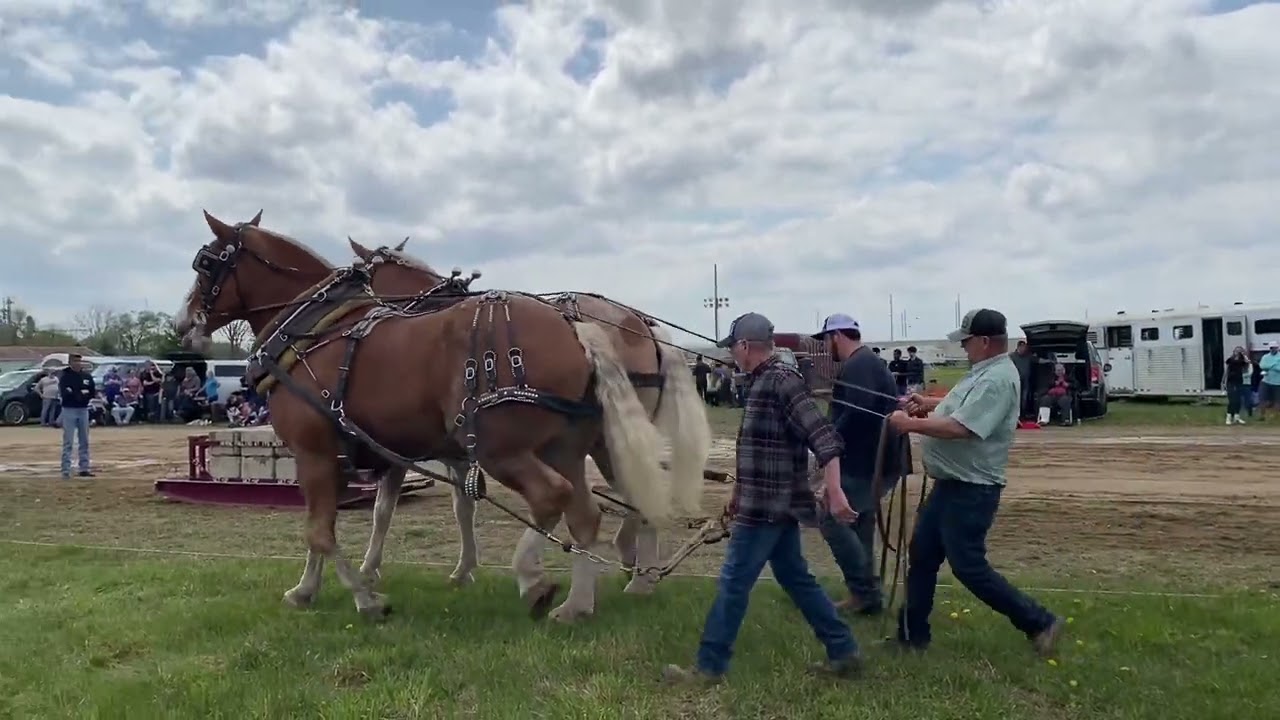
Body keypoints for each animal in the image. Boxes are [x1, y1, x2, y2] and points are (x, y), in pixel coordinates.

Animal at [173, 210, 675, 622]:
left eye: (205, 264)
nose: (182, 322)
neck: (313, 331)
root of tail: (580, 330)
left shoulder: (314, 451)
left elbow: (323, 530)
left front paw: (366, 595)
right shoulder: (356, 454)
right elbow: (346, 520)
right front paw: (307, 589)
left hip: (502, 446)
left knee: (555, 497)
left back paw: (544, 579)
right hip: (567, 446)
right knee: (589, 512)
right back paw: (582, 601)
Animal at [345, 237, 712, 608]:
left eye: (361, 276)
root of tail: (641, 323)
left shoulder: (412, 450)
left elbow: (386, 510)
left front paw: (371, 569)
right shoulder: (457, 453)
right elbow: (463, 506)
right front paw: (464, 569)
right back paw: (637, 572)